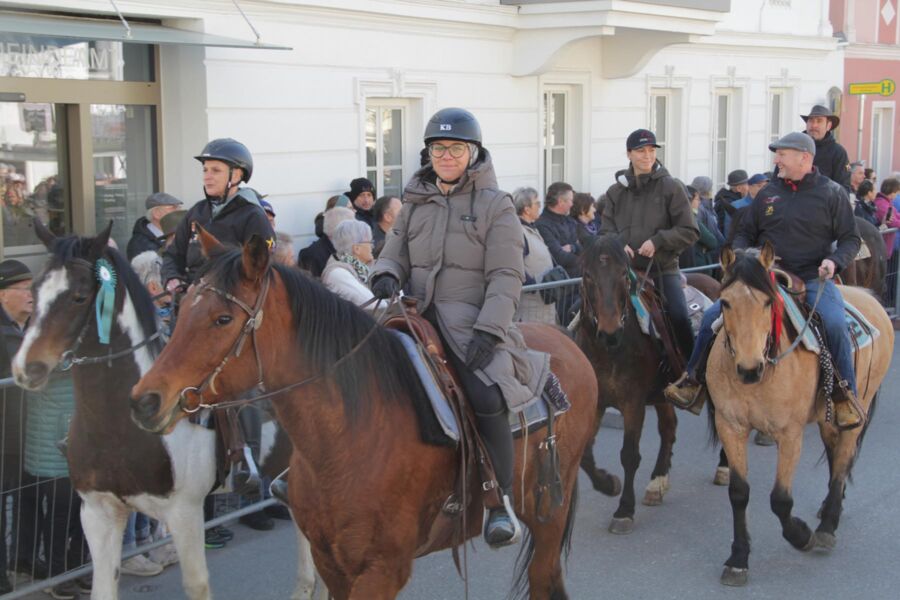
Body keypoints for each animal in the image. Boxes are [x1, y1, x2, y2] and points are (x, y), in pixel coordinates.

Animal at [12, 222, 320, 600]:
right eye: (34, 290)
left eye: (79, 297)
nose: (26, 368)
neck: (118, 425)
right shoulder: (98, 513)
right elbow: (102, 587)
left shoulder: (184, 513)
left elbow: (197, 585)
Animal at [129, 231, 597, 600]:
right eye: (181, 307)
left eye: (222, 318)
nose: (145, 400)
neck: (348, 435)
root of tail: (567, 342)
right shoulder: (332, 564)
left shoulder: (381, 571)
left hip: (548, 513)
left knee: (541, 578)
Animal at [575, 235, 718, 533]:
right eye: (588, 275)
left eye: (623, 274)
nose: (610, 332)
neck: (609, 351)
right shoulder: (598, 402)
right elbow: (584, 455)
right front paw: (608, 484)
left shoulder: (633, 403)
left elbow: (629, 455)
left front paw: (624, 510)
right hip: (661, 394)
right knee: (668, 429)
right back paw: (657, 481)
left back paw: (724, 469)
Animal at [707, 243, 893, 587]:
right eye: (725, 302)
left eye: (768, 301)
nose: (749, 369)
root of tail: (871, 297)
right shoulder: (730, 425)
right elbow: (739, 493)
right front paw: (738, 559)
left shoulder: (790, 434)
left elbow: (780, 499)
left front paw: (801, 535)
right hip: (826, 417)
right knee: (835, 454)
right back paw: (831, 506)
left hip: (857, 406)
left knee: (843, 457)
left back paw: (827, 525)